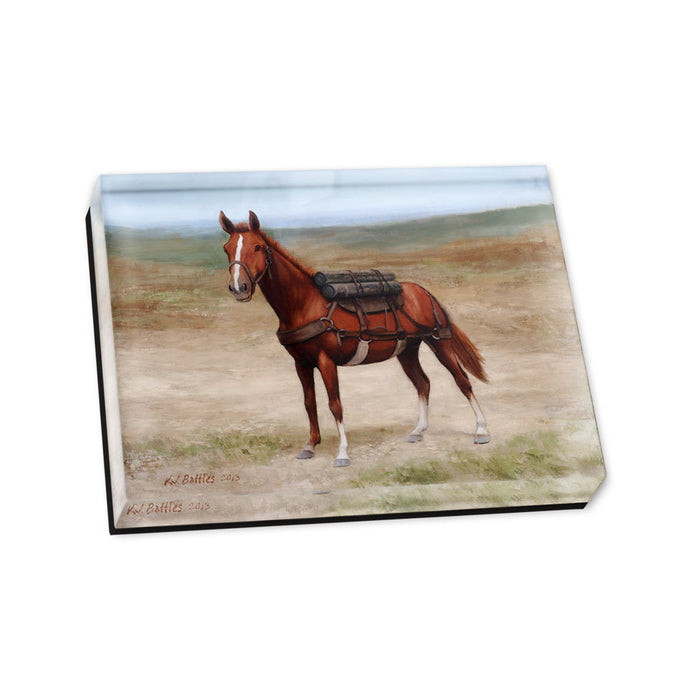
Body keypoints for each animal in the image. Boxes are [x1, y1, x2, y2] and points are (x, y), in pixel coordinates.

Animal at [221, 210, 490, 467]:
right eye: (226, 248)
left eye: (257, 247)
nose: (239, 287)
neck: (305, 304)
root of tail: (424, 292)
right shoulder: (302, 363)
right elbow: (309, 403)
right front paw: (310, 446)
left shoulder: (326, 361)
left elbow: (335, 404)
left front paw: (342, 453)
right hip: (407, 350)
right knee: (423, 383)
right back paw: (418, 431)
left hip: (439, 343)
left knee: (462, 381)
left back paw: (481, 430)